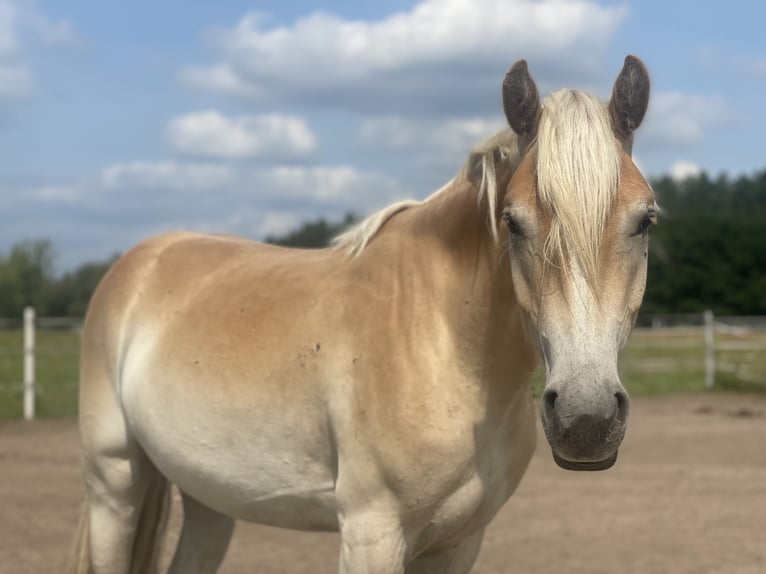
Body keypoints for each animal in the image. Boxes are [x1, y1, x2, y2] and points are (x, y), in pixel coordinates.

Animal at [70, 55, 656, 574]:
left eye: (645, 220)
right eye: (512, 222)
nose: (585, 419)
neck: (442, 344)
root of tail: (141, 261)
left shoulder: (460, 542)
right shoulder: (372, 534)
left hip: (209, 498)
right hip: (114, 485)